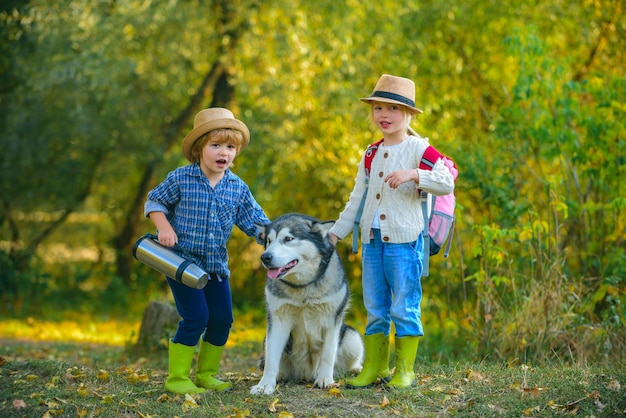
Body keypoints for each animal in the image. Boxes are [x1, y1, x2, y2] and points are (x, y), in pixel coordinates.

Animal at [249, 214, 364, 394]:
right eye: (269, 240)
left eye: (288, 239)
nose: (265, 257)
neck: (303, 287)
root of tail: (306, 374)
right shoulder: (278, 320)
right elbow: (271, 360)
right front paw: (265, 385)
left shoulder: (332, 320)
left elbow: (327, 354)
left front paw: (325, 379)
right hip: (266, 342)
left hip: (353, 338)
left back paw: (356, 369)